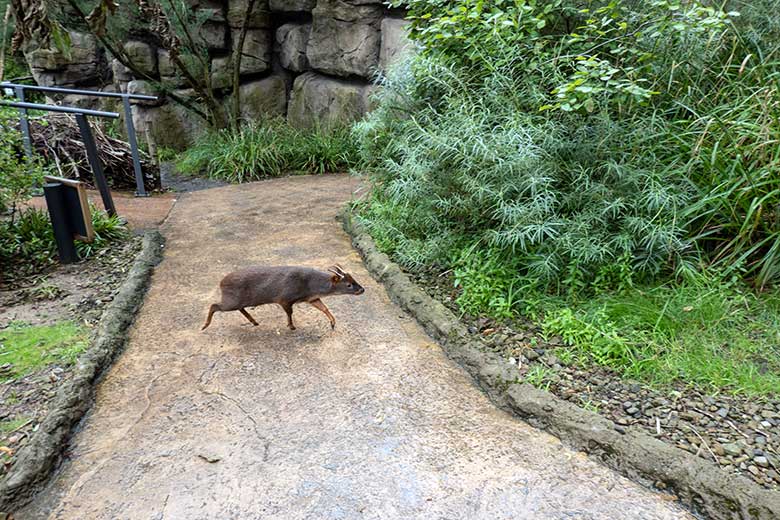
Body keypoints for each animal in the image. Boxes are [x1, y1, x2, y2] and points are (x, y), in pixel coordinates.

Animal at [198, 266, 362, 332]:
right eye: (348, 285)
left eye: (354, 279)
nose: (362, 289)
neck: (309, 285)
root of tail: (221, 282)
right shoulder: (284, 298)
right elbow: (289, 312)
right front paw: (291, 326)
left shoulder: (311, 298)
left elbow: (324, 308)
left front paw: (333, 323)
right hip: (231, 300)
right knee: (214, 305)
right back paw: (204, 326)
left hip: (237, 300)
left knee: (240, 308)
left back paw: (254, 321)